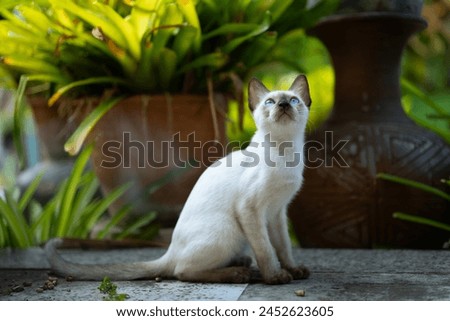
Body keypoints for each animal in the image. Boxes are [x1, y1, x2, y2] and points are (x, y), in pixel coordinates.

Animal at [46, 74, 312, 282]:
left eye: (294, 100)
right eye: (270, 102)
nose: (284, 105)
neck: (285, 153)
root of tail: (170, 250)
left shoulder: (277, 212)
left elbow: (283, 247)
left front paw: (294, 270)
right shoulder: (250, 209)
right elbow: (266, 250)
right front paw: (275, 277)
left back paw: (241, 263)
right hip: (229, 230)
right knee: (181, 271)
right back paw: (238, 273)